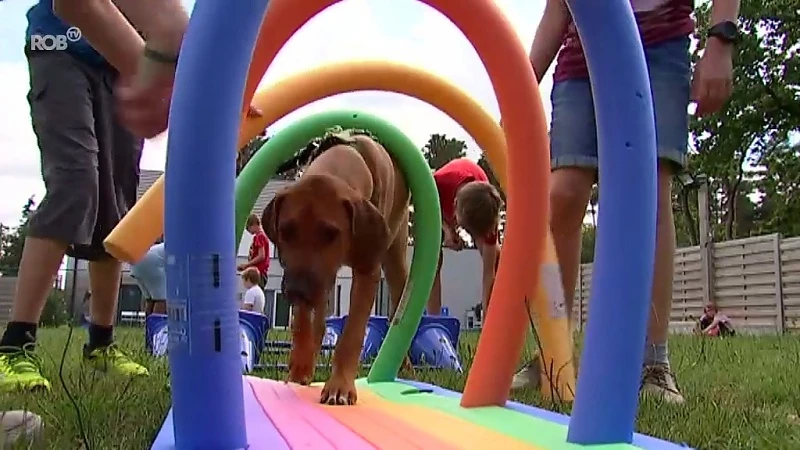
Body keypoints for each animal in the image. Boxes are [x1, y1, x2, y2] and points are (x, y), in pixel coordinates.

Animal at [262, 134, 410, 404]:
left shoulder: (367, 270)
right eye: (286, 231)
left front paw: (339, 385)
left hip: (395, 256)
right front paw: (300, 367)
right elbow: (302, 321)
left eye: (330, 233)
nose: (296, 290)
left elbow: (352, 334)